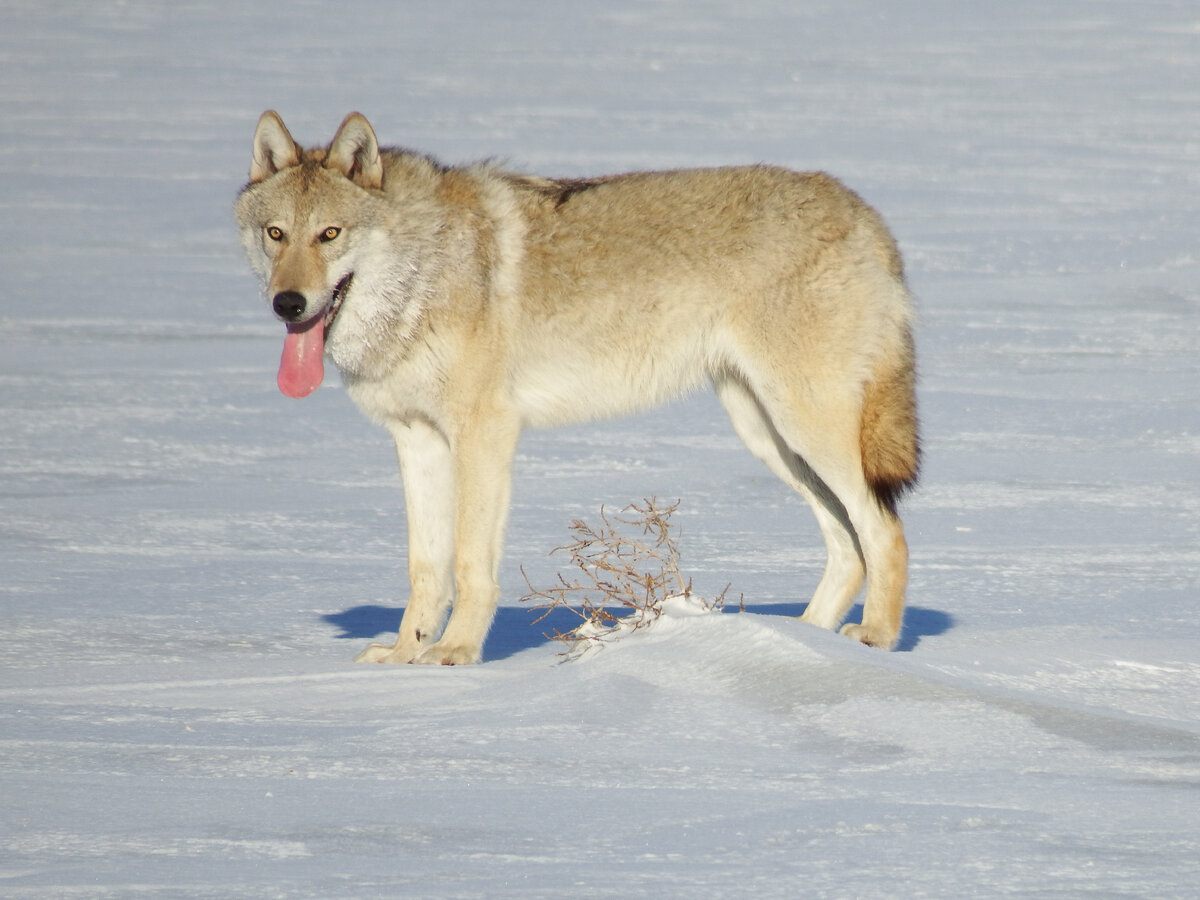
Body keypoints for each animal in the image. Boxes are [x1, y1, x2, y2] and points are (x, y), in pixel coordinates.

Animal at [238, 112, 921, 667]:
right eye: (276, 234)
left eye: (330, 234)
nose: (287, 303)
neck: (423, 271)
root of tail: (865, 212)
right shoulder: (416, 439)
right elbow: (425, 567)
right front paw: (406, 656)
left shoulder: (485, 433)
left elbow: (469, 561)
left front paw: (456, 654)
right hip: (766, 433)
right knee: (848, 547)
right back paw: (801, 643)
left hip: (805, 424)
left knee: (884, 531)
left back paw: (875, 641)